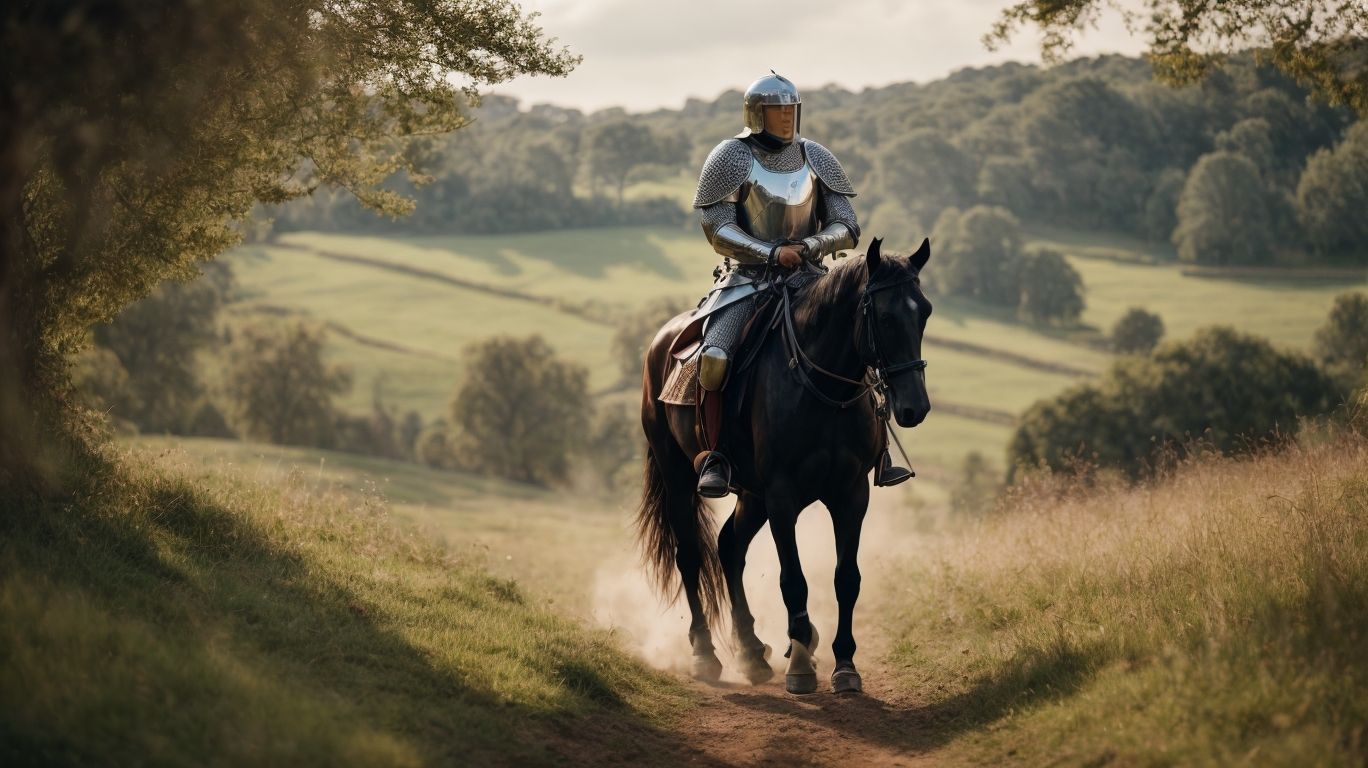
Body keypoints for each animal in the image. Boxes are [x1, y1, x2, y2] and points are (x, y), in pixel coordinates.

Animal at [636, 237, 932, 695]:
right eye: (883, 316)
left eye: (925, 313)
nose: (915, 407)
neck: (824, 387)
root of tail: (662, 343)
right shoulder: (781, 495)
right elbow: (793, 580)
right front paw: (802, 664)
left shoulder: (851, 495)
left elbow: (847, 578)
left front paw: (843, 663)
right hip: (680, 477)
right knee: (690, 555)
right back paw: (705, 654)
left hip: (751, 495)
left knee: (729, 548)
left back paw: (752, 651)